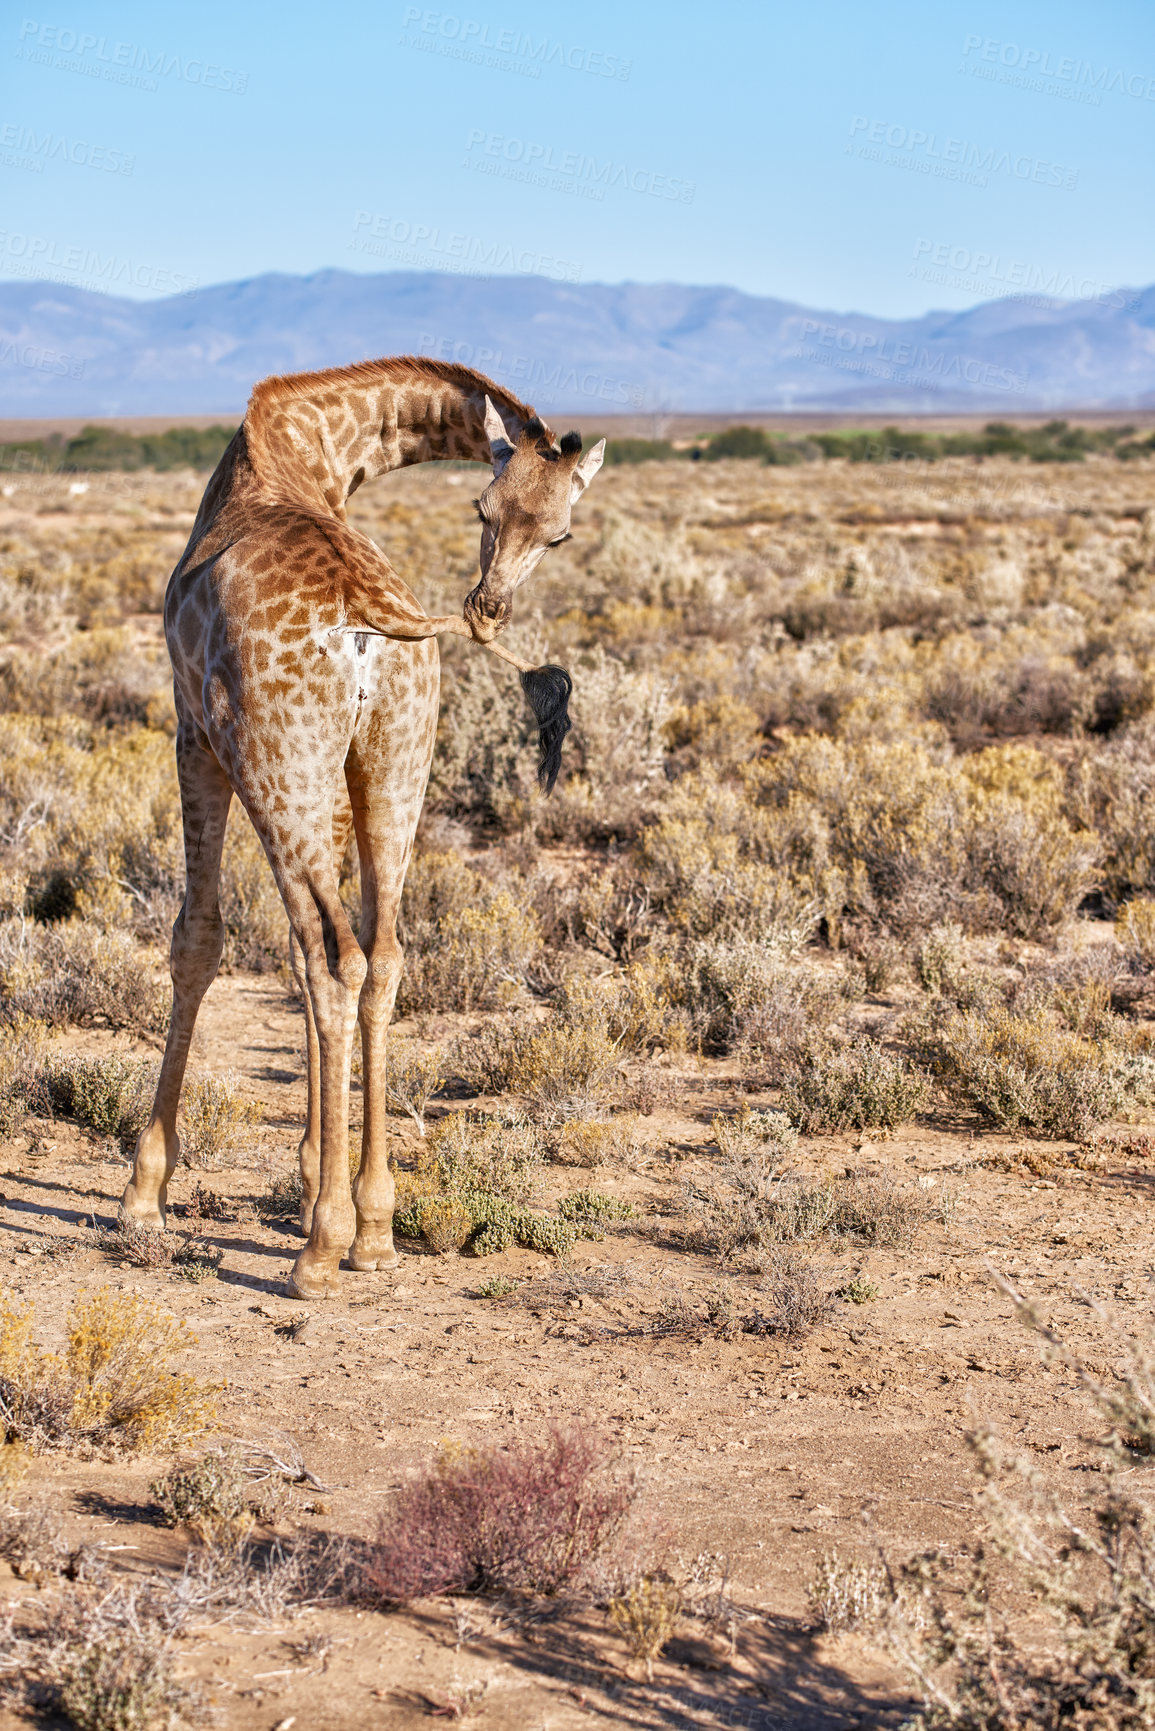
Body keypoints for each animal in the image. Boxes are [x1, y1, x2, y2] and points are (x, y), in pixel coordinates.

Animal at [119, 358, 606, 1294]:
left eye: (561, 535)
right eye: (484, 509)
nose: (488, 606)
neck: (305, 450)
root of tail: (374, 626)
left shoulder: (192, 734)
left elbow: (198, 939)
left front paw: (145, 1189)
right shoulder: (342, 776)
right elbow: (305, 956)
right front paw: (316, 1166)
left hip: (277, 762)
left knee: (331, 953)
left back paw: (320, 1247)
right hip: (393, 766)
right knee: (378, 956)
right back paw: (374, 1224)